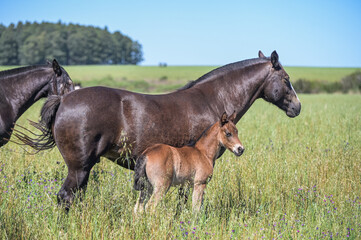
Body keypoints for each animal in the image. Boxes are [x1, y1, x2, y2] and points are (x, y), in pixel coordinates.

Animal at [15, 50, 300, 206]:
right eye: (286, 79)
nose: (297, 107)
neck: (211, 99)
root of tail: (63, 99)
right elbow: (186, 200)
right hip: (79, 167)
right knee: (65, 197)